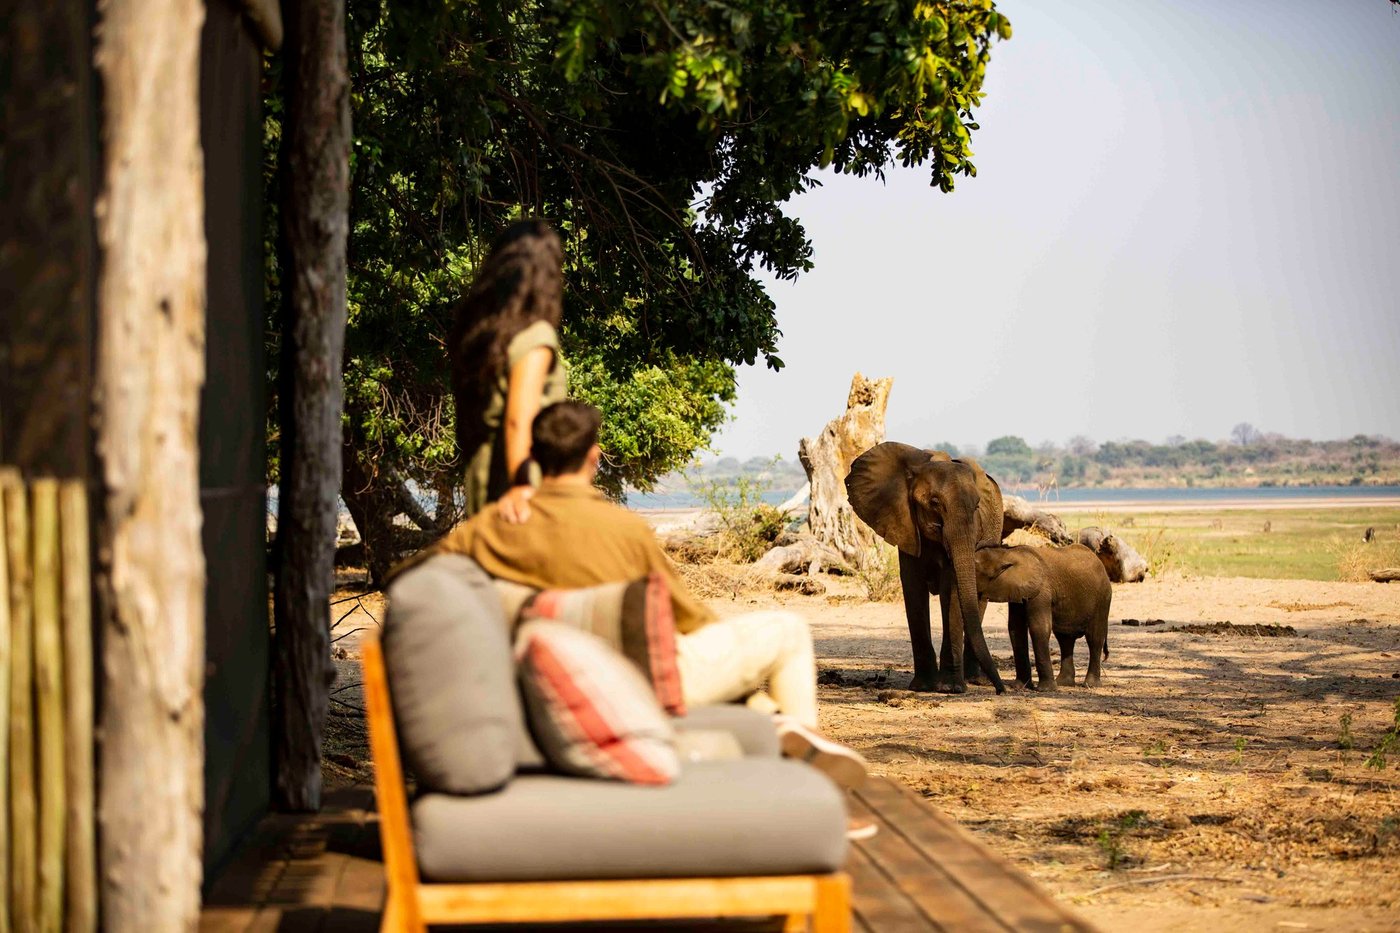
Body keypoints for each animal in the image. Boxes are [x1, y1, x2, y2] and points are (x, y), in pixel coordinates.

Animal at [845, 443, 1006, 694]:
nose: (1001, 690)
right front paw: (923, 687)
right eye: (934, 503)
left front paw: (949, 688)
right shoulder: (904, 525)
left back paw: (974, 680)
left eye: (977, 506)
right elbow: (913, 588)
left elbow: (951, 590)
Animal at [973, 544, 1111, 689]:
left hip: (1103, 597)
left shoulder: (1041, 590)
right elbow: (1016, 628)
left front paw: (1045, 690)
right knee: (1065, 639)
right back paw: (1063, 683)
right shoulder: (1018, 590)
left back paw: (1090, 685)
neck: (1007, 553)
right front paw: (1020, 687)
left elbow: (1038, 627)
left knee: (1094, 637)